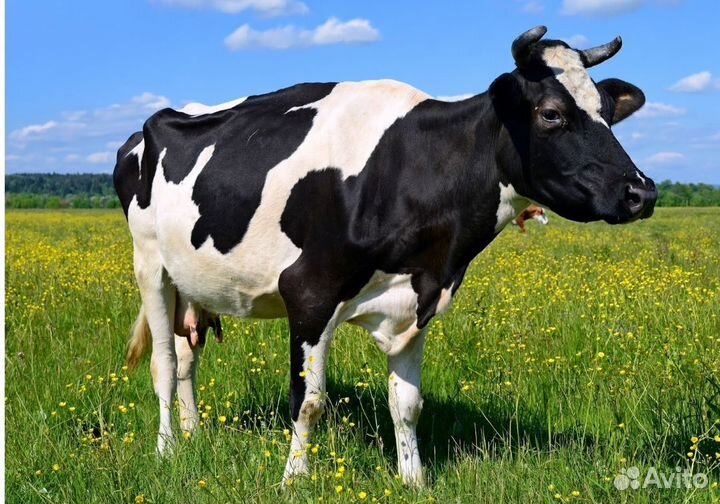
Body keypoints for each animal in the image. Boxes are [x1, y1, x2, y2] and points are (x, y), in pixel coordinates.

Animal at [113, 26, 657, 486]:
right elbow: (308, 401)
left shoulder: (418, 299)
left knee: (187, 355)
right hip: (150, 266)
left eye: (607, 111)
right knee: (164, 363)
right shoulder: (309, 292)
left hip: (192, 282)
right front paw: (294, 480)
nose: (641, 192)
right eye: (551, 113)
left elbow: (408, 404)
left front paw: (414, 480)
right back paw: (167, 449)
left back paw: (193, 435)